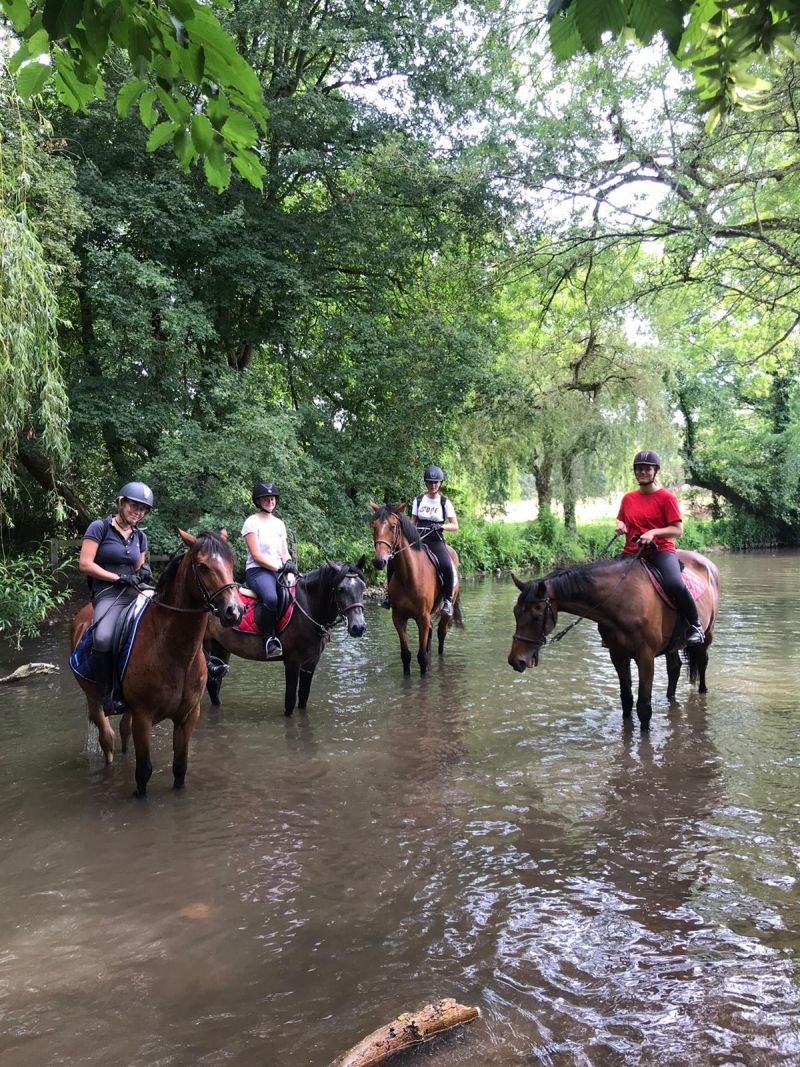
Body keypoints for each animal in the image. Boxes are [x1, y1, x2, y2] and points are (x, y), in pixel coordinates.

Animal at [68, 529, 244, 798]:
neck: (174, 652)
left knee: (123, 731)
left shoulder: (188, 716)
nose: (235, 611)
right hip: (93, 698)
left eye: (232, 563)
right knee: (107, 737)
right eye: (202, 566)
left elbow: (180, 767)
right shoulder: (144, 717)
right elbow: (143, 772)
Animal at [201, 559, 369, 717]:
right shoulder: (292, 662)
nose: (358, 627)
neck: (308, 608)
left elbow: (303, 699)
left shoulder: (311, 663)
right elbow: (290, 702)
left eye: (362, 587)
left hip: (221, 648)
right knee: (210, 682)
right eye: (341, 589)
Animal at [371, 501, 462, 674]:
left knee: (441, 635)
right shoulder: (399, 618)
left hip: (447, 611)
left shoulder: (422, 618)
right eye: (374, 525)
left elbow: (422, 658)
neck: (409, 576)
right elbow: (406, 655)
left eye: (393, 526)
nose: (379, 561)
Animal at [509, 550, 725, 734]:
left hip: (708, 634)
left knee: (702, 664)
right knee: (674, 669)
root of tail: (707, 563)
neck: (622, 599)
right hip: (672, 645)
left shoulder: (646, 657)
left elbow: (643, 707)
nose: (515, 660)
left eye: (537, 614)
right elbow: (626, 700)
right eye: (515, 612)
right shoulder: (618, 655)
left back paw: (702, 688)